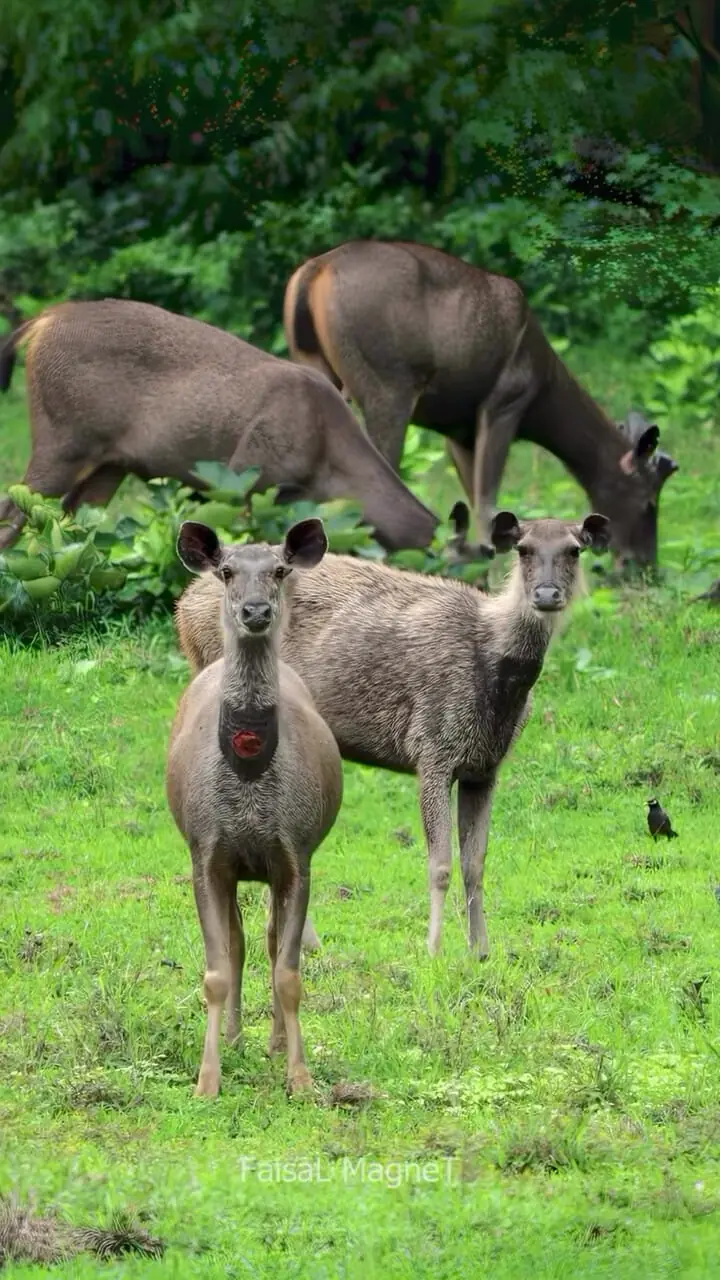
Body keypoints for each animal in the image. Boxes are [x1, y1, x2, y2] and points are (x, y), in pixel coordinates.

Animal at [0, 296, 438, 552]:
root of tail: (41, 320)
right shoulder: (246, 475)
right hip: (62, 437)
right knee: (14, 512)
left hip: (110, 463)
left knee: (71, 523)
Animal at [165, 514, 340, 1095]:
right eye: (226, 571)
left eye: (280, 569)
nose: (257, 611)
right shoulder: (206, 852)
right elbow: (216, 972)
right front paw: (207, 1081)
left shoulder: (296, 854)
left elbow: (289, 974)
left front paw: (300, 1078)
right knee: (240, 944)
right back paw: (238, 1037)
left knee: (266, 940)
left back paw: (273, 1042)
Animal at [172, 499, 604, 962]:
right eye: (523, 549)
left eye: (574, 549)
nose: (547, 595)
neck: (496, 678)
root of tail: (182, 607)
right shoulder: (432, 747)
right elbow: (440, 865)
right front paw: (433, 948)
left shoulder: (485, 767)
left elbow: (476, 863)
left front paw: (480, 950)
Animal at [281, 239, 671, 565]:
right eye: (648, 500)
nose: (644, 565)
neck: (544, 392)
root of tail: (312, 272)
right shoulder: (506, 400)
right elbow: (488, 502)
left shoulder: (458, 429)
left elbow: (472, 495)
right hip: (387, 382)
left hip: (316, 364)